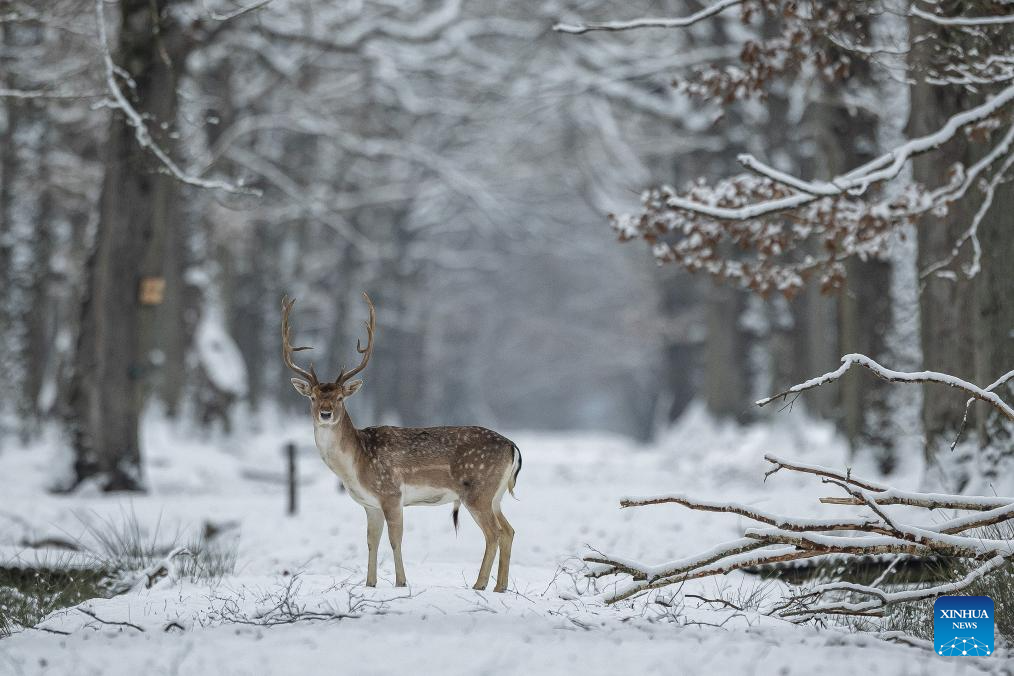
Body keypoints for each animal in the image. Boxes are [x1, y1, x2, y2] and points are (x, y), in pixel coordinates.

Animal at [283, 293, 523, 591]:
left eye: (340, 397)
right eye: (313, 397)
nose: (325, 413)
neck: (356, 464)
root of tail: (512, 447)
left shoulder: (391, 493)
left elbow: (395, 540)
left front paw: (401, 582)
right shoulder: (370, 504)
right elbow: (371, 542)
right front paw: (370, 584)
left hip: (477, 489)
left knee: (494, 532)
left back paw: (480, 585)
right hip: (495, 494)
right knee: (509, 530)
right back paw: (500, 587)